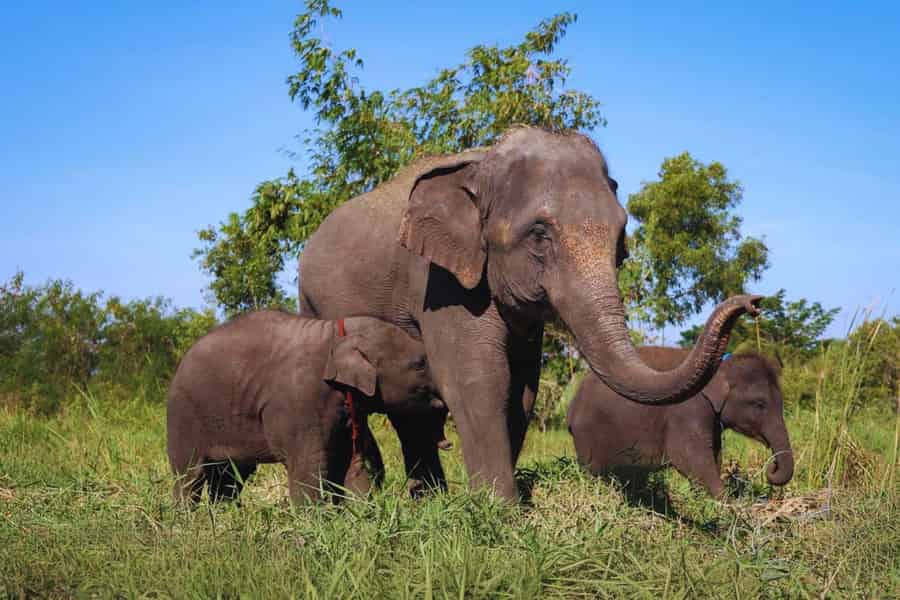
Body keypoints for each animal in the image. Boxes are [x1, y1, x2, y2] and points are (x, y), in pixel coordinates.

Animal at [166, 310, 448, 505]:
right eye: (419, 363)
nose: (446, 441)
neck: (336, 334)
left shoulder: (347, 408)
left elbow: (351, 464)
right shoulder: (300, 404)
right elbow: (309, 471)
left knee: (229, 479)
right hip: (183, 417)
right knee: (189, 477)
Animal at [298, 125, 761, 500]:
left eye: (620, 234)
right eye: (540, 234)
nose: (752, 303)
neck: (482, 165)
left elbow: (522, 386)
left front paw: (504, 502)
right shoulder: (440, 280)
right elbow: (477, 379)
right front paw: (501, 512)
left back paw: (425, 498)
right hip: (313, 302)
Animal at [568, 348, 794, 498]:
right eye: (759, 404)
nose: (771, 467)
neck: (721, 366)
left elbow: (714, 455)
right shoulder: (687, 409)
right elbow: (689, 457)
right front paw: (727, 506)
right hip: (588, 436)